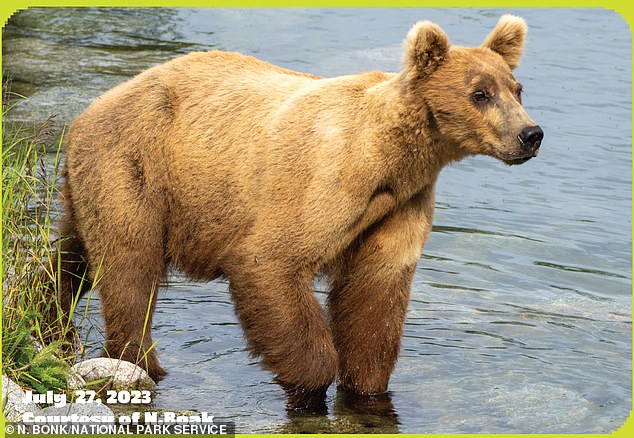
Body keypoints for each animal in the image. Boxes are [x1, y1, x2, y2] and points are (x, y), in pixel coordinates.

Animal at [51, 14, 540, 410]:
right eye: (480, 93)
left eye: (517, 89)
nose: (530, 134)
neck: (390, 160)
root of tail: (92, 107)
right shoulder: (323, 183)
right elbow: (270, 262)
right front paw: (309, 385)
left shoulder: (400, 205)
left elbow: (375, 297)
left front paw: (366, 388)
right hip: (136, 168)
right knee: (130, 268)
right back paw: (142, 365)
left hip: (93, 185)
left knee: (71, 256)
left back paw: (55, 318)